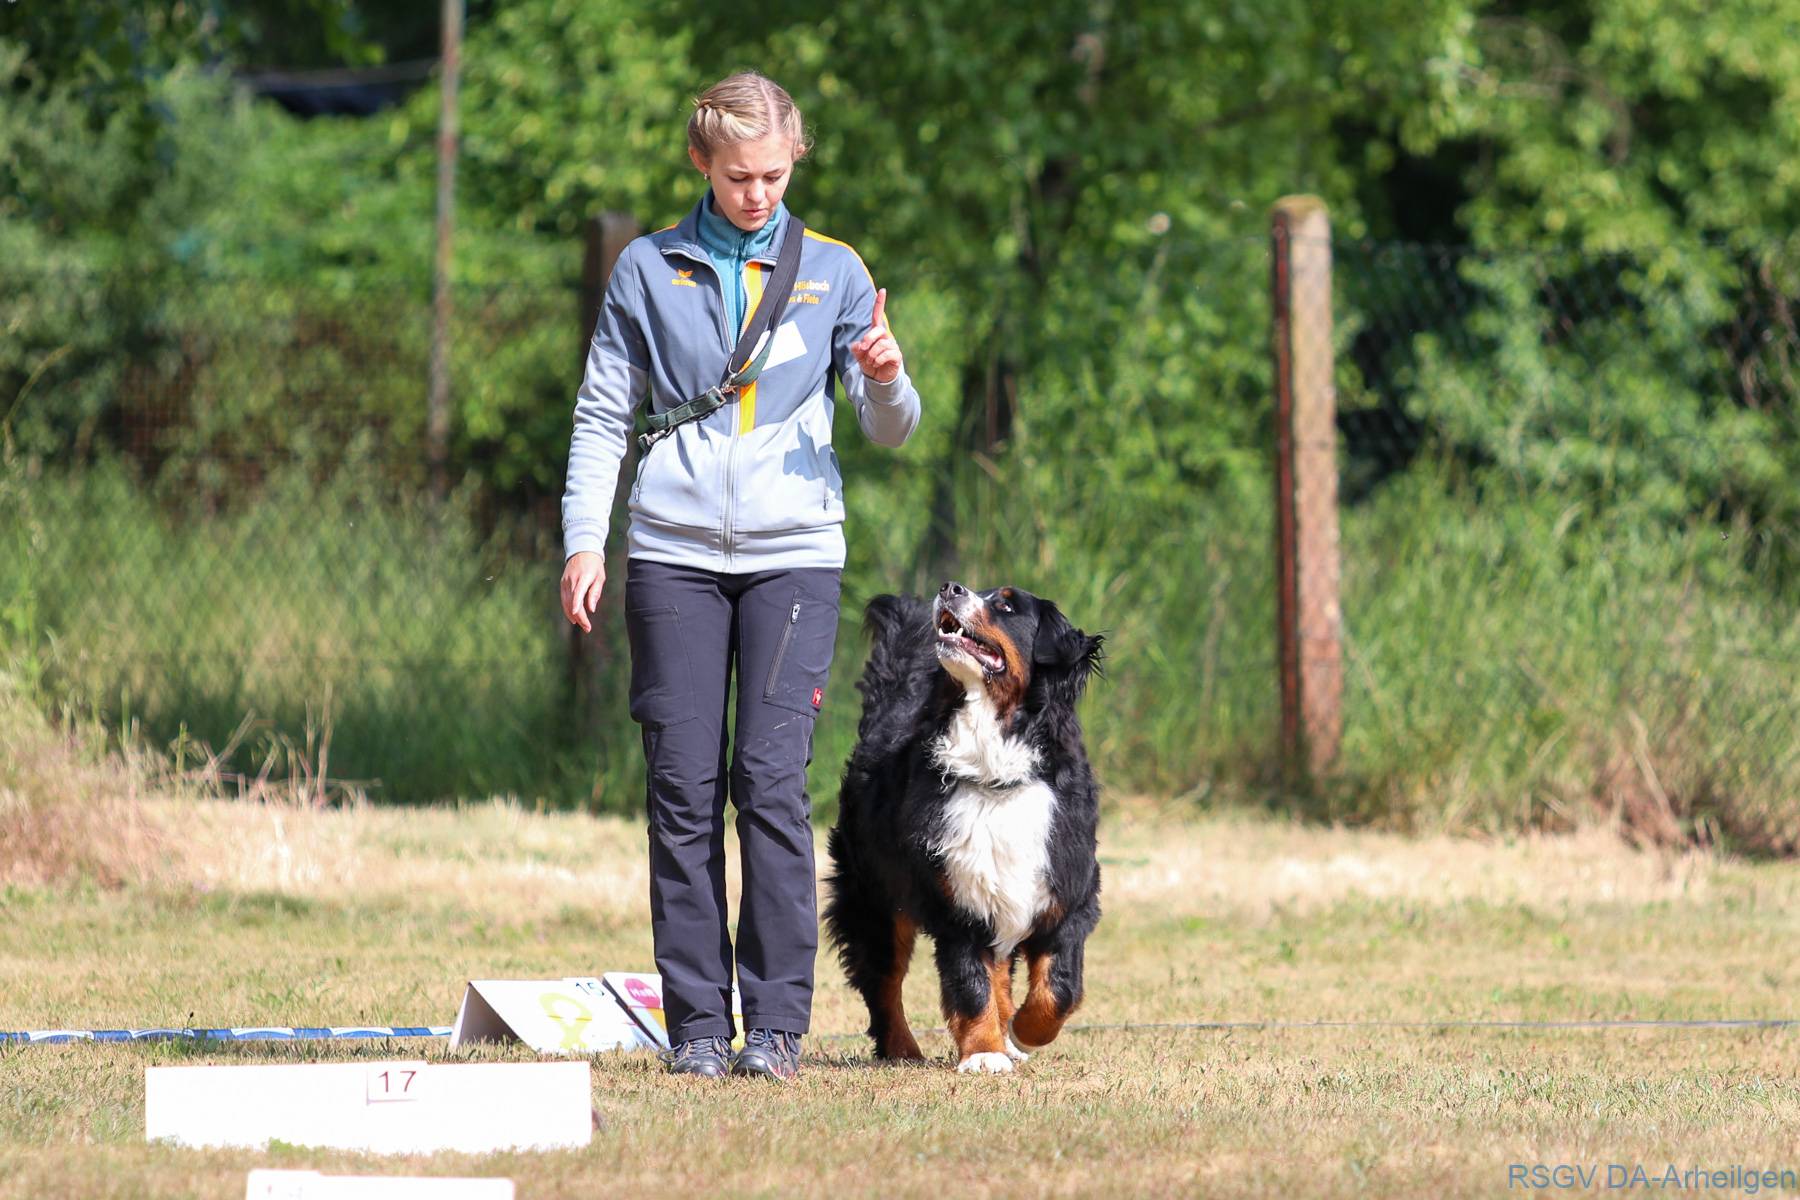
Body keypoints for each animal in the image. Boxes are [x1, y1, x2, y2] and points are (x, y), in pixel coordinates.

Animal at [825, 580, 1104, 1073]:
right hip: (877, 897)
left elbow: (1058, 989)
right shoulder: (957, 898)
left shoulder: (1069, 890)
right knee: (883, 981)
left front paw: (1020, 1033)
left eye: (1006, 605)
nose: (949, 587)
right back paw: (902, 1048)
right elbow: (971, 984)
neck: (994, 771)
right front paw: (985, 1053)